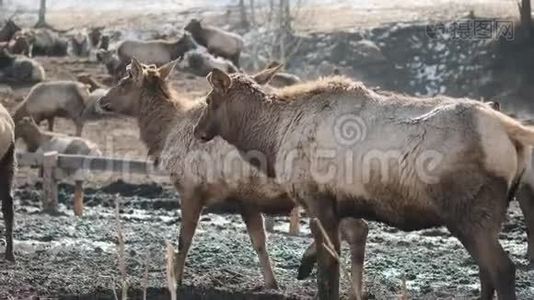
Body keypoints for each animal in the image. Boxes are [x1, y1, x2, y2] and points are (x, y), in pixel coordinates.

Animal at [96, 57, 370, 294]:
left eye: (125, 80)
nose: (101, 100)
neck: (164, 134)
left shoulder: (190, 188)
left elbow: (184, 239)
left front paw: (175, 278)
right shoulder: (246, 200)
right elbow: (259, 242)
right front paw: (271, 282)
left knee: (355, 230)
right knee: (356, 230)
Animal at [194, 68, 534, 300]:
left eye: (209, 100)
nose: (198, 131)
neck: (273, 140)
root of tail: (512, 132)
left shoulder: (316, 199)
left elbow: (329, 270)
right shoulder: (340, 205)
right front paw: (305, 264)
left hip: (468, 213)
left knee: (502, 269)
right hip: (486, 216)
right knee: (486, 271)